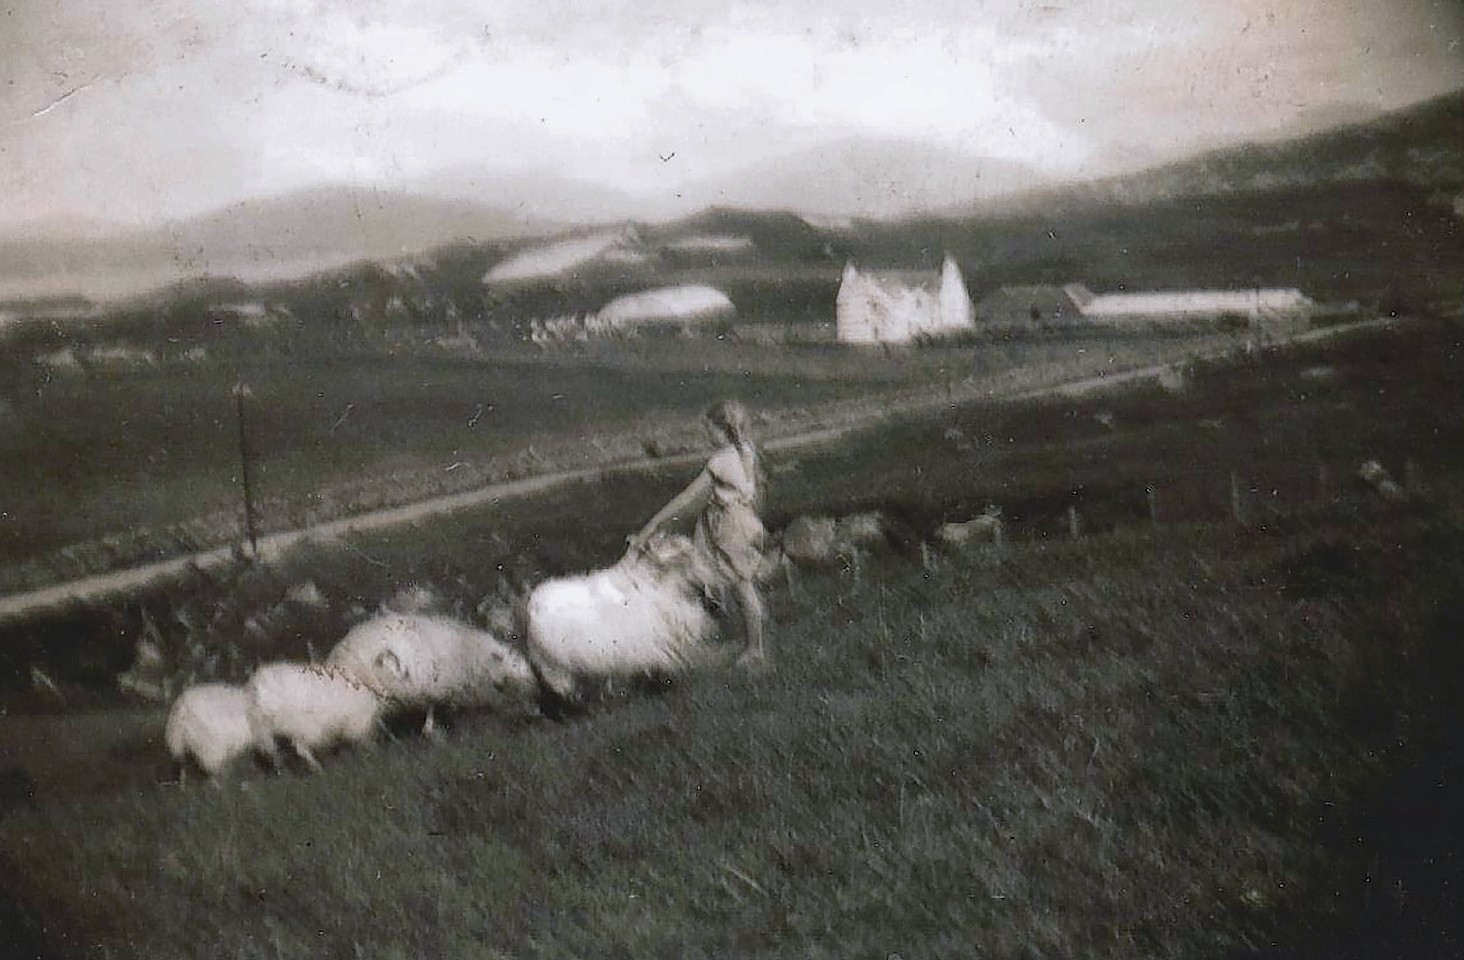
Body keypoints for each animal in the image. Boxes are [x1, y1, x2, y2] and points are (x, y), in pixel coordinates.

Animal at [245, 661, 386, 772]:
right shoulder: (358, 724)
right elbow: (367, 744)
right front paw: (373, 758)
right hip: (298, 725)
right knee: (300, 748)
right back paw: (318, 769)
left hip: (267, 730)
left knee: (276, 752)